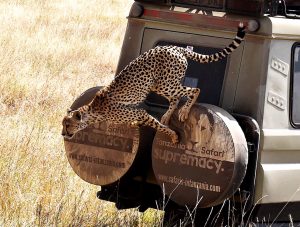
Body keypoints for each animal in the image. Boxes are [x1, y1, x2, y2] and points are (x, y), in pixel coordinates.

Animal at [61, 23, 246, 144]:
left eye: (67, 124)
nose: (63, 134)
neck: (94, 110)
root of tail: (174, 47)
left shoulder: (141, 113)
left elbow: (157, 126)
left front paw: (173, 136)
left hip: (165, 83)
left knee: (194, 90)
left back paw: (184, 112)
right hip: (159, 84)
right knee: (176, 98)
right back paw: (167, 115)